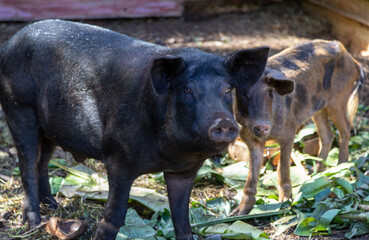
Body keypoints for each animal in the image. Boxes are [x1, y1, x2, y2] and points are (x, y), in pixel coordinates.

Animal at [0, 19, 268, 239]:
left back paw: (53, 206)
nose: (223, 122)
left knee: (42, 161)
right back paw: (33, 223)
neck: (171, 154)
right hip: (19, 108)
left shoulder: (185, 171)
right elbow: (114, 215)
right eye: (188, 89)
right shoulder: (117, 159)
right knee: (26, 165)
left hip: (50, 129)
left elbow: (182, 218)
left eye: (227, 89)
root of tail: (9, 44)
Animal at [229, 39, 364, 216]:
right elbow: (251, 176)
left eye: (270, 92)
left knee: (346, 129)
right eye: (244, 94)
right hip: (318, 108)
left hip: (338, 100)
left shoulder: (289, 132)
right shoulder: (251, 140)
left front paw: (285, 203)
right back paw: (317, 174)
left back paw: (341, 168)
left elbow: (282, 168)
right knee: (327, 135)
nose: (262, 126)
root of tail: (352, 59)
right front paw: (236, 214)